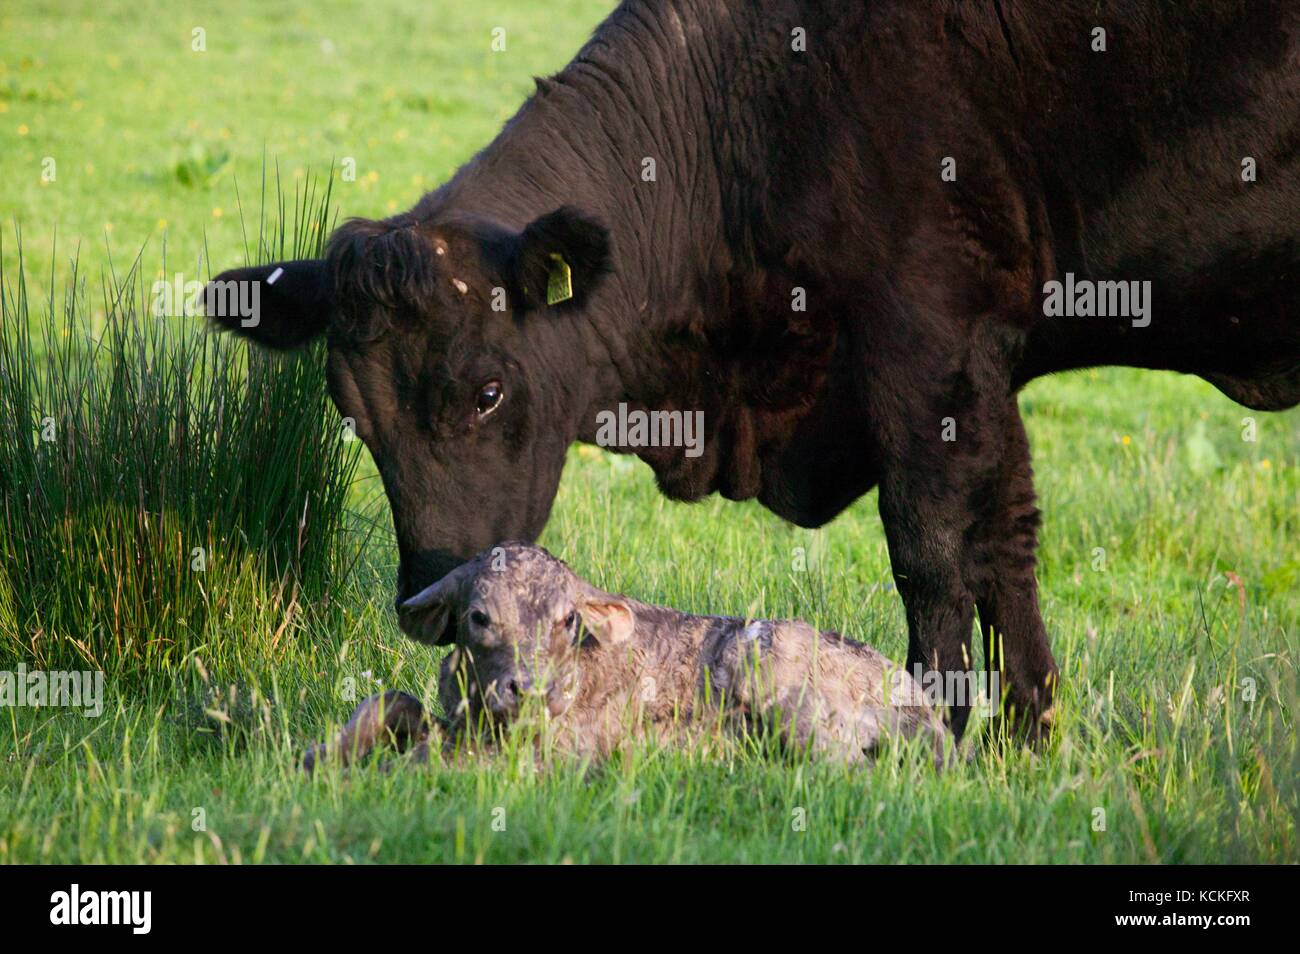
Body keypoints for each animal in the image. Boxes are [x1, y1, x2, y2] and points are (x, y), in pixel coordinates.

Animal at [202, 0, 1300, 738]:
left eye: (487, 390)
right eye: (348, 408)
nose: (428, 598)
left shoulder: (929, 349)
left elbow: (936, 554)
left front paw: (940, 731)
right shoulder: (987, 367)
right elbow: (1008, 547)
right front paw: (1026, 739)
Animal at [309, 540, 951, 774]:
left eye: (568, 620)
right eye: (478, 617)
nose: (529, 689)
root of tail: (918, 698)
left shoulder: (564, 751)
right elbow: (389, 700)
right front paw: (319, 754)